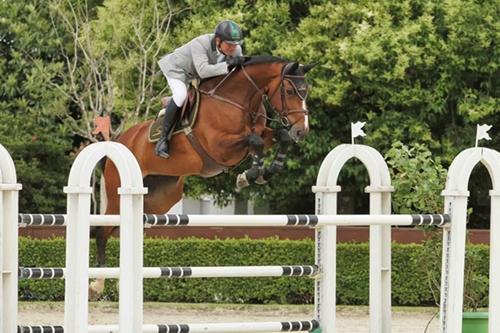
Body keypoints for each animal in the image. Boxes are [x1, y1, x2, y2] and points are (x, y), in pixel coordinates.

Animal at [90, 55, 312, 296]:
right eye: (289, 91)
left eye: (306, 90)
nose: (302, 131)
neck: (239, 101)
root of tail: (119, 141)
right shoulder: (220, 147)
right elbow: (255, 141)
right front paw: (250, 174)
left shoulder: (262, 134)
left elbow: (279, 137)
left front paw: (262, 173)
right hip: (118, 196)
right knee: (102, 231)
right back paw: (97, 284)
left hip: (159, 198)